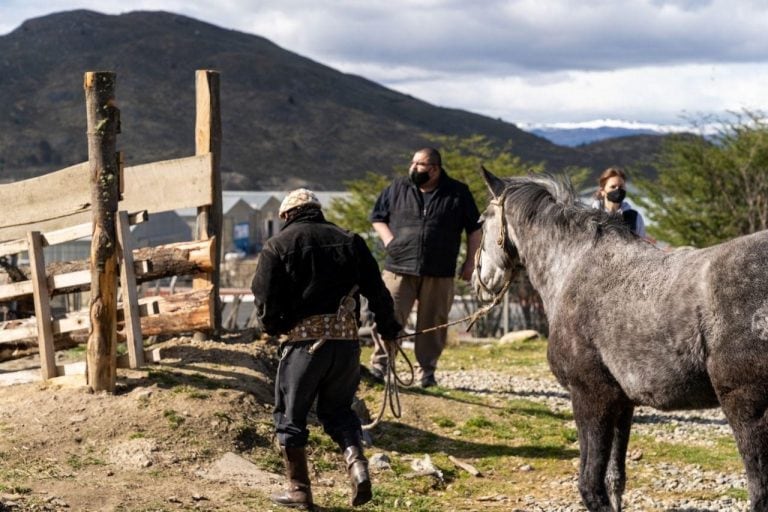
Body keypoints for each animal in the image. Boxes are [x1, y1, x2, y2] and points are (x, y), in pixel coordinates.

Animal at [472, 169, 768, 512]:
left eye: (481, 221)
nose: (477, 281)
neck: (574, 267)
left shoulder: (590, 397)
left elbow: (590, 486)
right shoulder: (621, 402)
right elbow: (615, 480)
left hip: (746, 409)